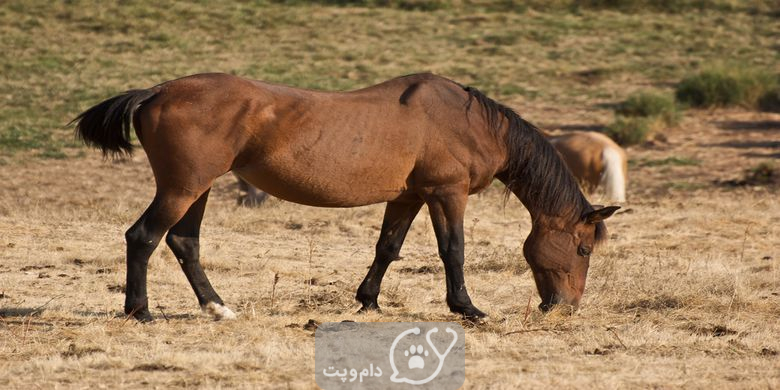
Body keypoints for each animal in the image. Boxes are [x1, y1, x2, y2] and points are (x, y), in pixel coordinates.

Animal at [74, 71, 620, 322]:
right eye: (583, 248)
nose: (565, 307)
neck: (467, 121)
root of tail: (155, 92)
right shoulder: (447, 193)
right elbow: (453, 251)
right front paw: (467, 308)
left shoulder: (409, 196)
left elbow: (388, 248)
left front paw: (368, 301)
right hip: (182, 188)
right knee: (143, 236)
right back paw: (140, 311)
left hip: (198, 190)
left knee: (183, 242)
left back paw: (218, 307)